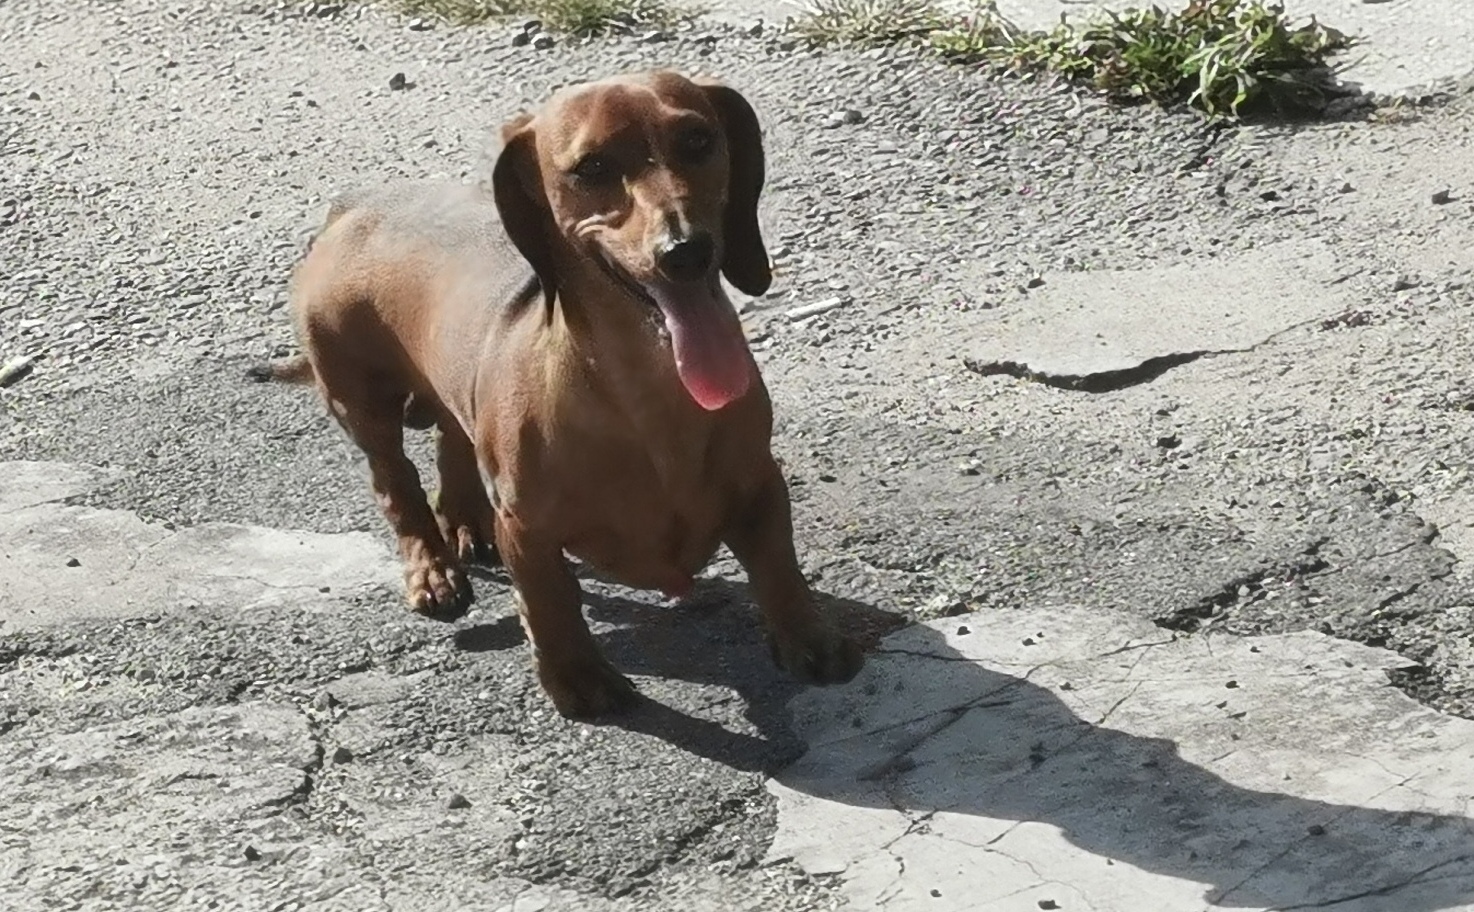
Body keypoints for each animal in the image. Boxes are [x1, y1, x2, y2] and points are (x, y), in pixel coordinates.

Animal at [250, 71, 862, 716]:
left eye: (698, 139)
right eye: (591, 167)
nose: (687, 251)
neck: (647, 396)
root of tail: (351, 207)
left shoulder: (760, 482)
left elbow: (777, 563)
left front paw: (809, 638)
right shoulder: (527, 529)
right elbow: (550, 602)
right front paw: (578, 678)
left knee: (452, 438)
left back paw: (464, 520)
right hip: (359, 398)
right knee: (397, 484)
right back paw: (433, 569)